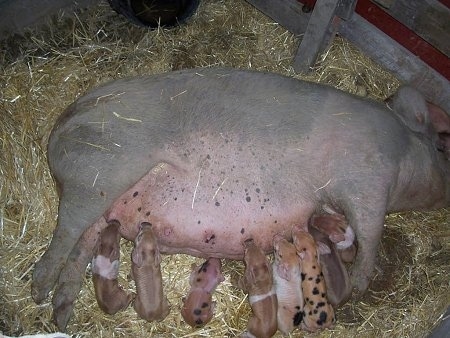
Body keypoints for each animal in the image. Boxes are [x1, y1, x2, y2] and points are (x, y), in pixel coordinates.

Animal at [31, 67, 450, 328]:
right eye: (440, 147)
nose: (444, 187)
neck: (404, 148)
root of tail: (62, 122)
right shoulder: (367, 180)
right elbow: (371, 233)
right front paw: (360, 287)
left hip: (104, 203)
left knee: (84, 246)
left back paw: (60, 312)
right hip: (99, 172)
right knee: (66, 232)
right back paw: (38, 290)